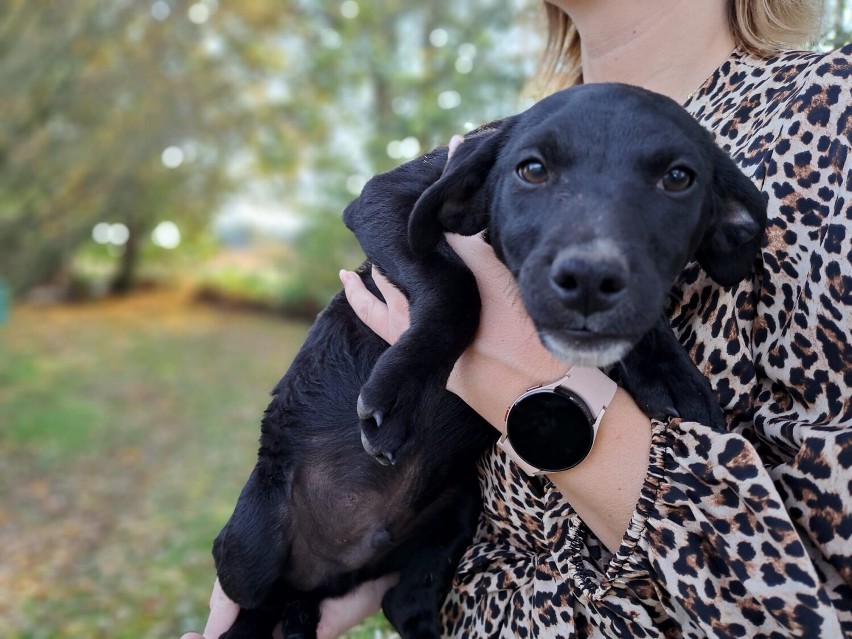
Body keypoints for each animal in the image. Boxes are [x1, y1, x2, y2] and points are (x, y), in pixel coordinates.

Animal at [210, 146, 496, 639]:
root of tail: (334, 570)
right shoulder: (388, 198)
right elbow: (459, 287)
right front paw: (396, 402)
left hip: (460, 505)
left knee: (400, 601)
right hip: (249, 546)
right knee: (249, 599)